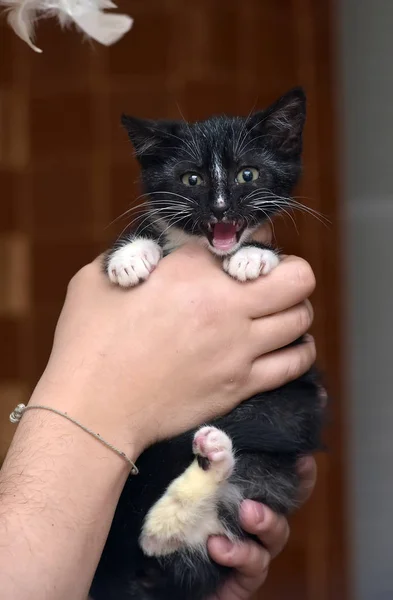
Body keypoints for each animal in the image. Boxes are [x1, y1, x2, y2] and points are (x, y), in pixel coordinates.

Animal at [91, 86, 324, 600]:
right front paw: (130, 256)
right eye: (191, 178)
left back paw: (196, 480)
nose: (219, 209)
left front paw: (254, 256)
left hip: (268, 457)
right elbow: (148, 234)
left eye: (247, 174)